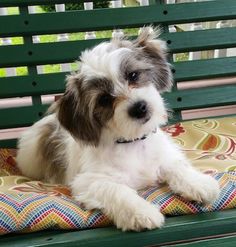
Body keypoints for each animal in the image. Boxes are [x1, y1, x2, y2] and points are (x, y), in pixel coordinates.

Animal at [16, 28, 219, 233]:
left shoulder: (165, 155)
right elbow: (118, 190)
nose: (139, 108)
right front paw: (141, 212)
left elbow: (176, 165)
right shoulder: (89, 181)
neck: (134, 142)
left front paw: (199, 183)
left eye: (133, 75)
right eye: (104, 99)